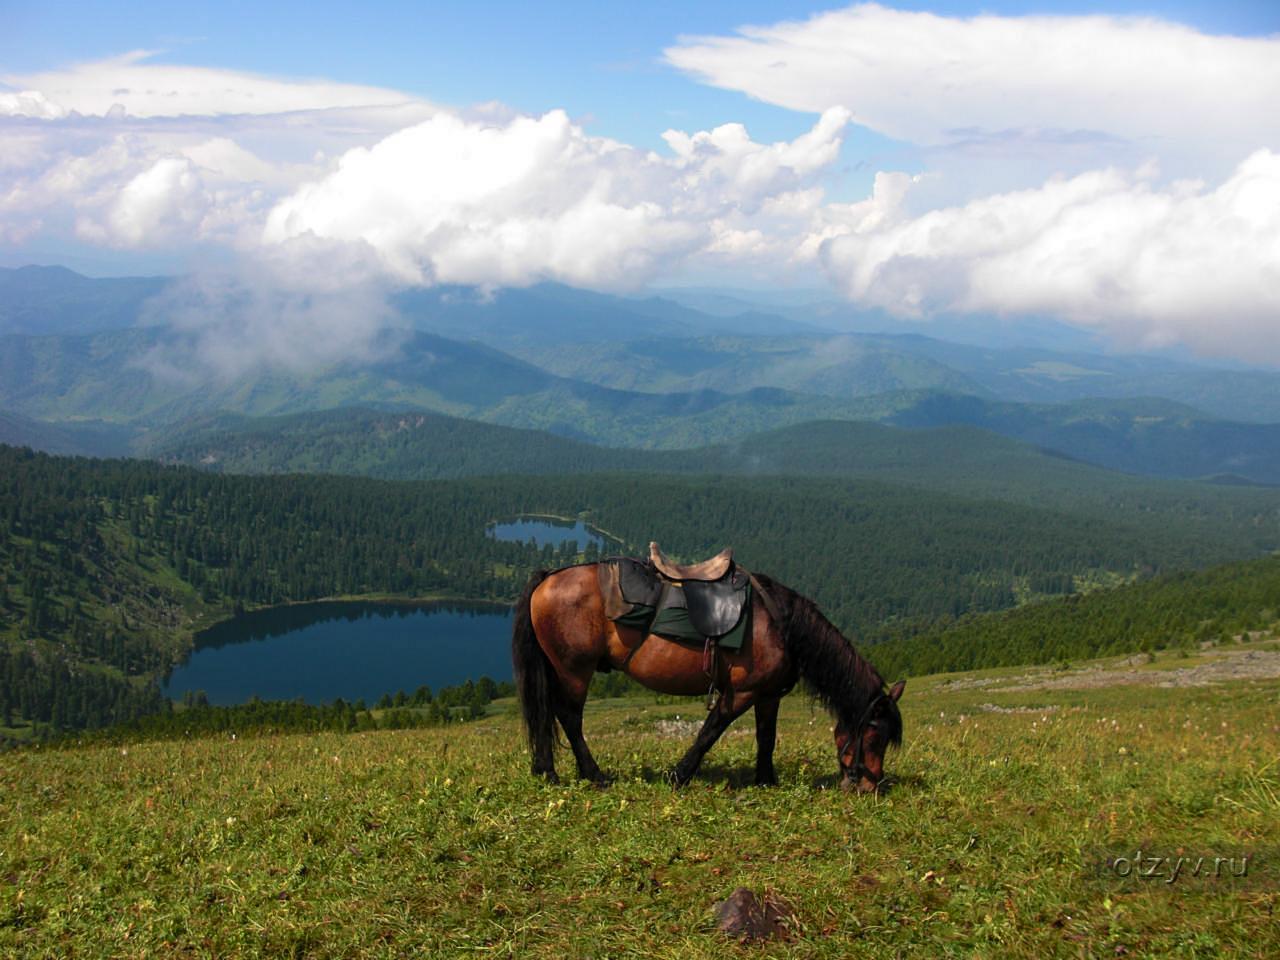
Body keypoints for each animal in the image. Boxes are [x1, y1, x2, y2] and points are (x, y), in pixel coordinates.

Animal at [514, 560, 906, 793]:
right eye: (874, 736)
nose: (868, 788)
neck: (780, 626)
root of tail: (548, 578)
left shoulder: (768, 695)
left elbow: (766, 737)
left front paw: (765, 781)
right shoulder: (741, 692)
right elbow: (710, 731)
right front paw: (679, 775)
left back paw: (548, 770)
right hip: (573, 671)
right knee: (568, 717)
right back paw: (590, 775)